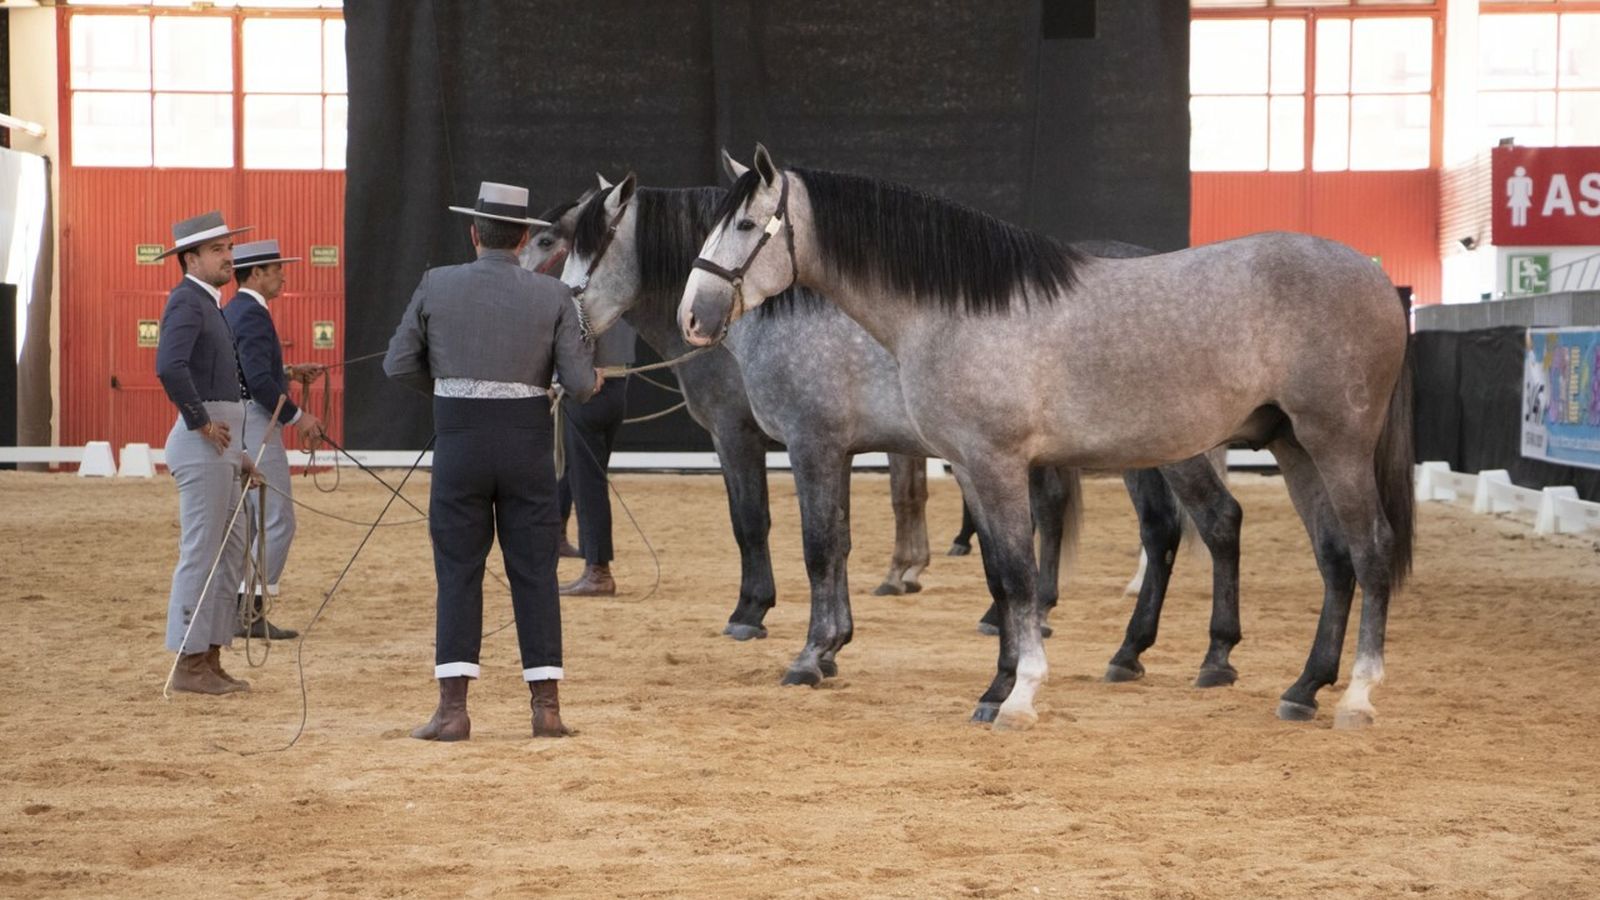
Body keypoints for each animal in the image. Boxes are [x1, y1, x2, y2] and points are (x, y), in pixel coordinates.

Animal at [564, 172, 1249, 692]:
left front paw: (780, 633)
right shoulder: (845, 448)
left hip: (1164, 451)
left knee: (1209, 524)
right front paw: (836, 643)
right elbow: (842, 540)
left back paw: (1206, 655)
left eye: (589, 244)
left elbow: (785, 535)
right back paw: (1126, 649)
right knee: (1157, 530)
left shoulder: (781, 440)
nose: (567, 315)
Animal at [680, 146, 1414, 732]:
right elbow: (1004, 580)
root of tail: (1377, 277)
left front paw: (1020, 695)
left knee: (1370, 551)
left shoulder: (992, 462)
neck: (956, 308)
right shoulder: (970, 467)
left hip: (1335, 444)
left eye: (744, 226)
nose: (693, 316)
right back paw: (1303, 688)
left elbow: (1017, 573)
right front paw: (996, 687)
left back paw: (1356, 697)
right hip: (1294, 447)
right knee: (1334, 559)